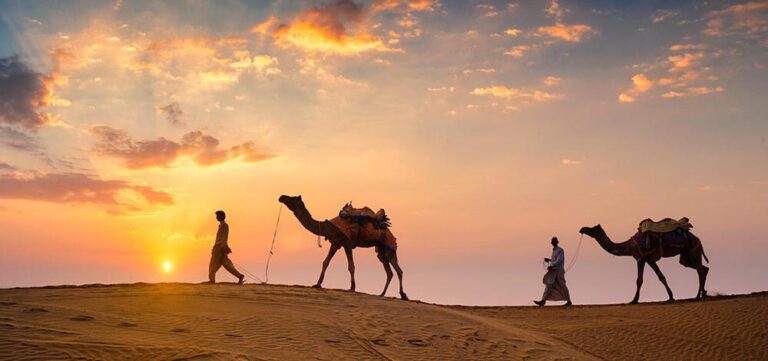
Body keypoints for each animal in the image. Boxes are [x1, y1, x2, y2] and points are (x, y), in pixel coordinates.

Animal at [276, 195, 408, 300]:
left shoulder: (347, 243)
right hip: (381, 250)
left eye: (292, 198)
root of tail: (391, 233)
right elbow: (325, 262)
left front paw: (352, 288)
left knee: (398, 270)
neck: (329, 227)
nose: (281, 197)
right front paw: (317, 284)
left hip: (388, 247)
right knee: (390, 272)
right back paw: (382, 294)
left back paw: (402, 295)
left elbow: (351, 266)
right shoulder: (335, 243)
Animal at [580, 224, 712, 302]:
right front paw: (671, 297)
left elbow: (639, 280)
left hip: (693, 251)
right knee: (704, 268)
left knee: (700, 269)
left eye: (593, 229)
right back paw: (702, 294)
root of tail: (699, 240)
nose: (582, 229)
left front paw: (634, 300)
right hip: (687, 256)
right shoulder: (650, 259)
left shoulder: (640, 258)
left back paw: (697, 296)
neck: (629, 246)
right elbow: (661, 277)